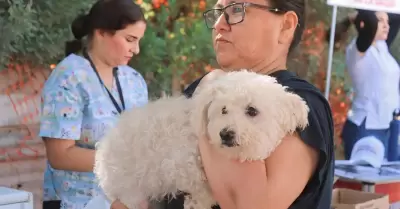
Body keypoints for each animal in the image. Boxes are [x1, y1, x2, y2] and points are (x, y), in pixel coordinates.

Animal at [94, 70, 310, 209]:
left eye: (252, 110)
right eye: (223, 110)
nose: (225, 133)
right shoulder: (177, 162)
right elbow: (199, 184)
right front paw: (198, 201)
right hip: (130, 190)